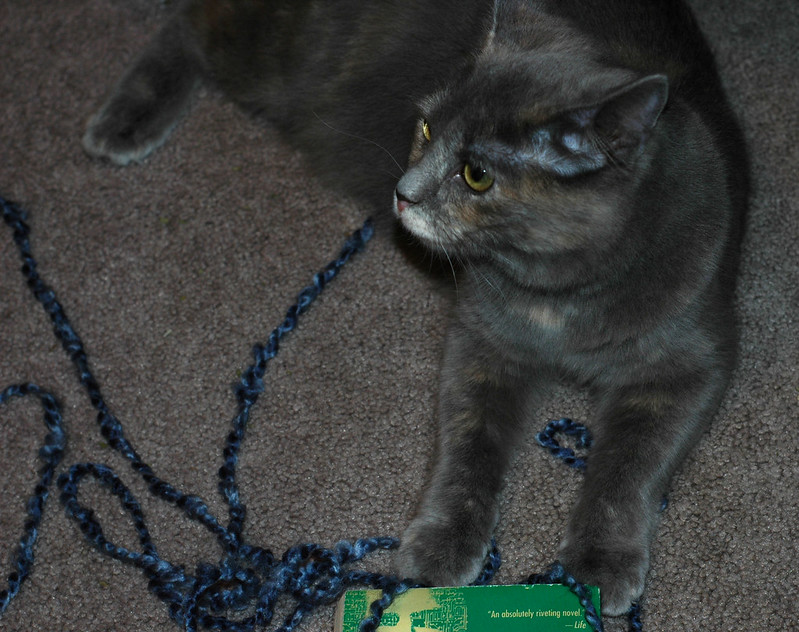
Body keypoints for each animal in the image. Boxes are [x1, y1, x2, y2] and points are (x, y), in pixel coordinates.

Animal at [81, 0, 744, 616]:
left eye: (476, 175)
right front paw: (443, 543)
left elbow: (630, 467)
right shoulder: (480, 339)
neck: (554, 297)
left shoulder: (688, 361)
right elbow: (467, 443)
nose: (403, 192)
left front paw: (602, 562)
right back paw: (123, 122)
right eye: (425, 129)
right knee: (191, 22)